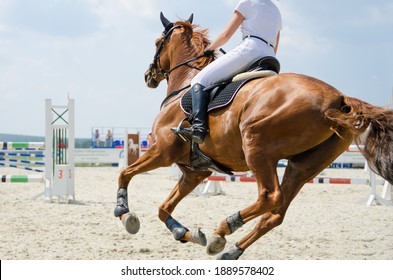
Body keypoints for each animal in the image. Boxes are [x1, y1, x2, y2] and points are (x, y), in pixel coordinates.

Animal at [115, 12, 392, 258]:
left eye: (156, 42)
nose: (149, 75)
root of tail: (337, 100)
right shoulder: (195, 171)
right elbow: (163, 208)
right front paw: (186, 233)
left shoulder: (163, 152)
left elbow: (125, 173)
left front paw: (124, 212)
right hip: (304, 165)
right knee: (277, 212)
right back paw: (231, 249)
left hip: (256, 147)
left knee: (270, 197)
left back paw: (224, 228)